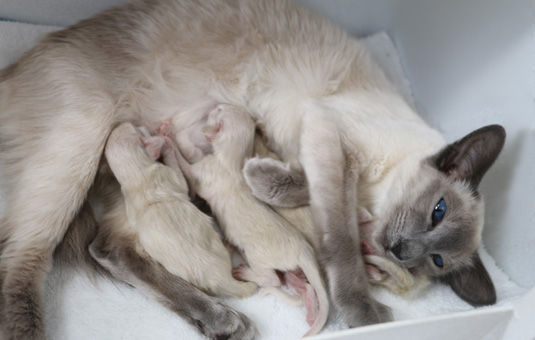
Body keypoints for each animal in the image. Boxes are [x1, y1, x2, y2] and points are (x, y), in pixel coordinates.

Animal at [0, 0, 504, 338]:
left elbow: (314, 200)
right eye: (438, 211)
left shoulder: (318, 156)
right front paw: (366, 313)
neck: (368, 192)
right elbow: (338, 235)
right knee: (23, 266)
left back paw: (219, 319)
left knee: (109, 249)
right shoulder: (330, 141)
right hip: (81, 143)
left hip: (138, 182)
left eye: (435, 262)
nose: (401, 250)